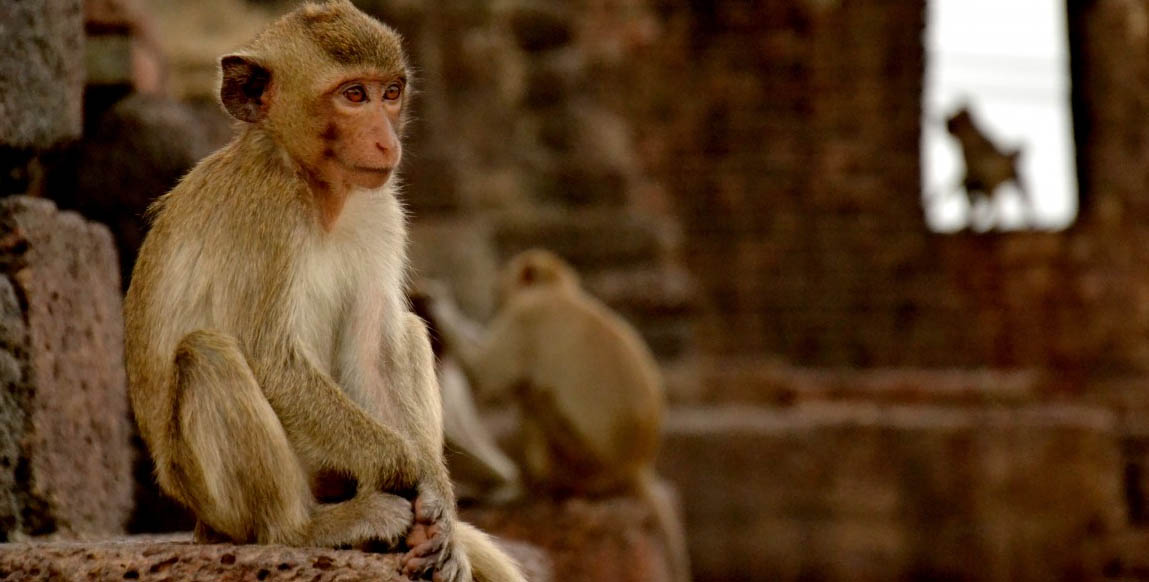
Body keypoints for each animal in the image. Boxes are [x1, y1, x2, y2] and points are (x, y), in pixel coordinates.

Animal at [122, 2, 526, 580]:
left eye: (390, 92)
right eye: (353, 95)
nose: (388, 141)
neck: (317, 188)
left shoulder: (380, 208)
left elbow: (374, 348)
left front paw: (437, 505)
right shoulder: (267, 206)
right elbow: (270, 357)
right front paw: (410, 472)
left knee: (404, 326)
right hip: (214, 500)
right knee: (206, 354)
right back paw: (306, 528)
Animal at [422, 249, 689, 582]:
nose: (498, 296)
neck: (557, 291)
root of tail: (636, 466)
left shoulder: (525, 319)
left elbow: (487, 380)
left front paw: (439, 306)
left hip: (581, 460)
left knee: (536, 397)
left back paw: (538, 489)